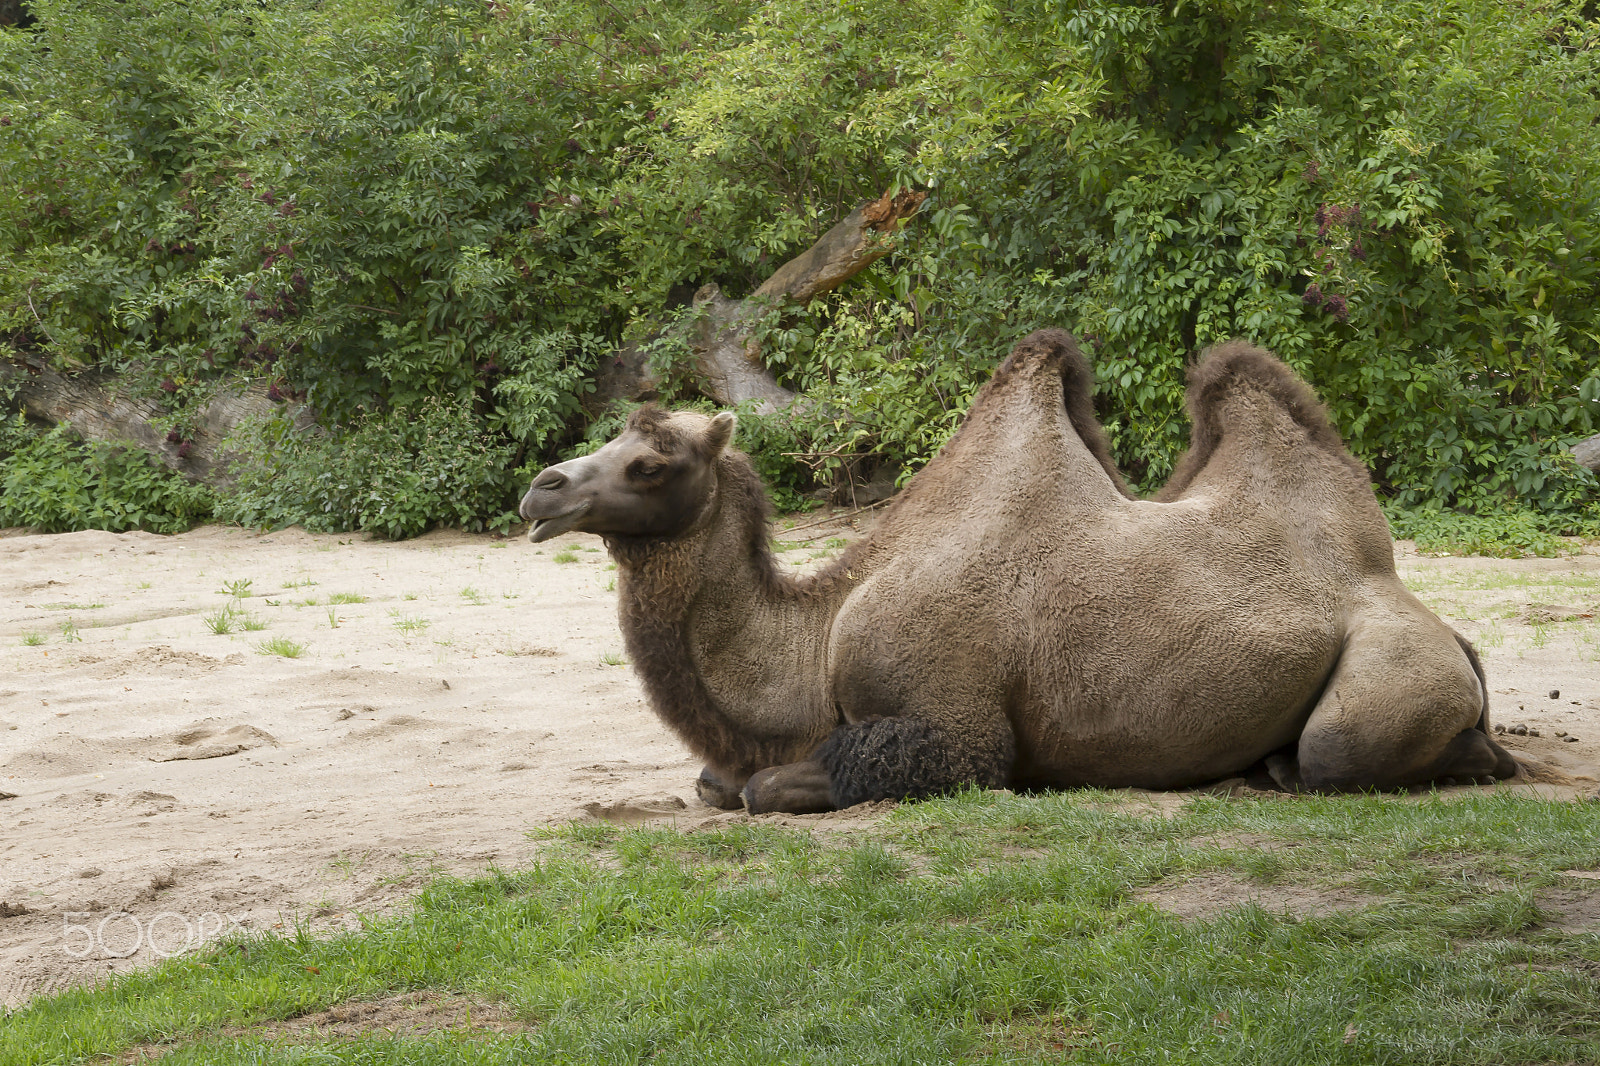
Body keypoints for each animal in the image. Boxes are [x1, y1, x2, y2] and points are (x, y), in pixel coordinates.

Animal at [520, 330, 1516, 812]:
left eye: (652, 463)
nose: (543, 488)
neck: (817, 636)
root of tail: (1433, 617)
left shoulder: (953, 730)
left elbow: (769, 789)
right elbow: (718, 781)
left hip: (1384, 677)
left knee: (1339, 750)